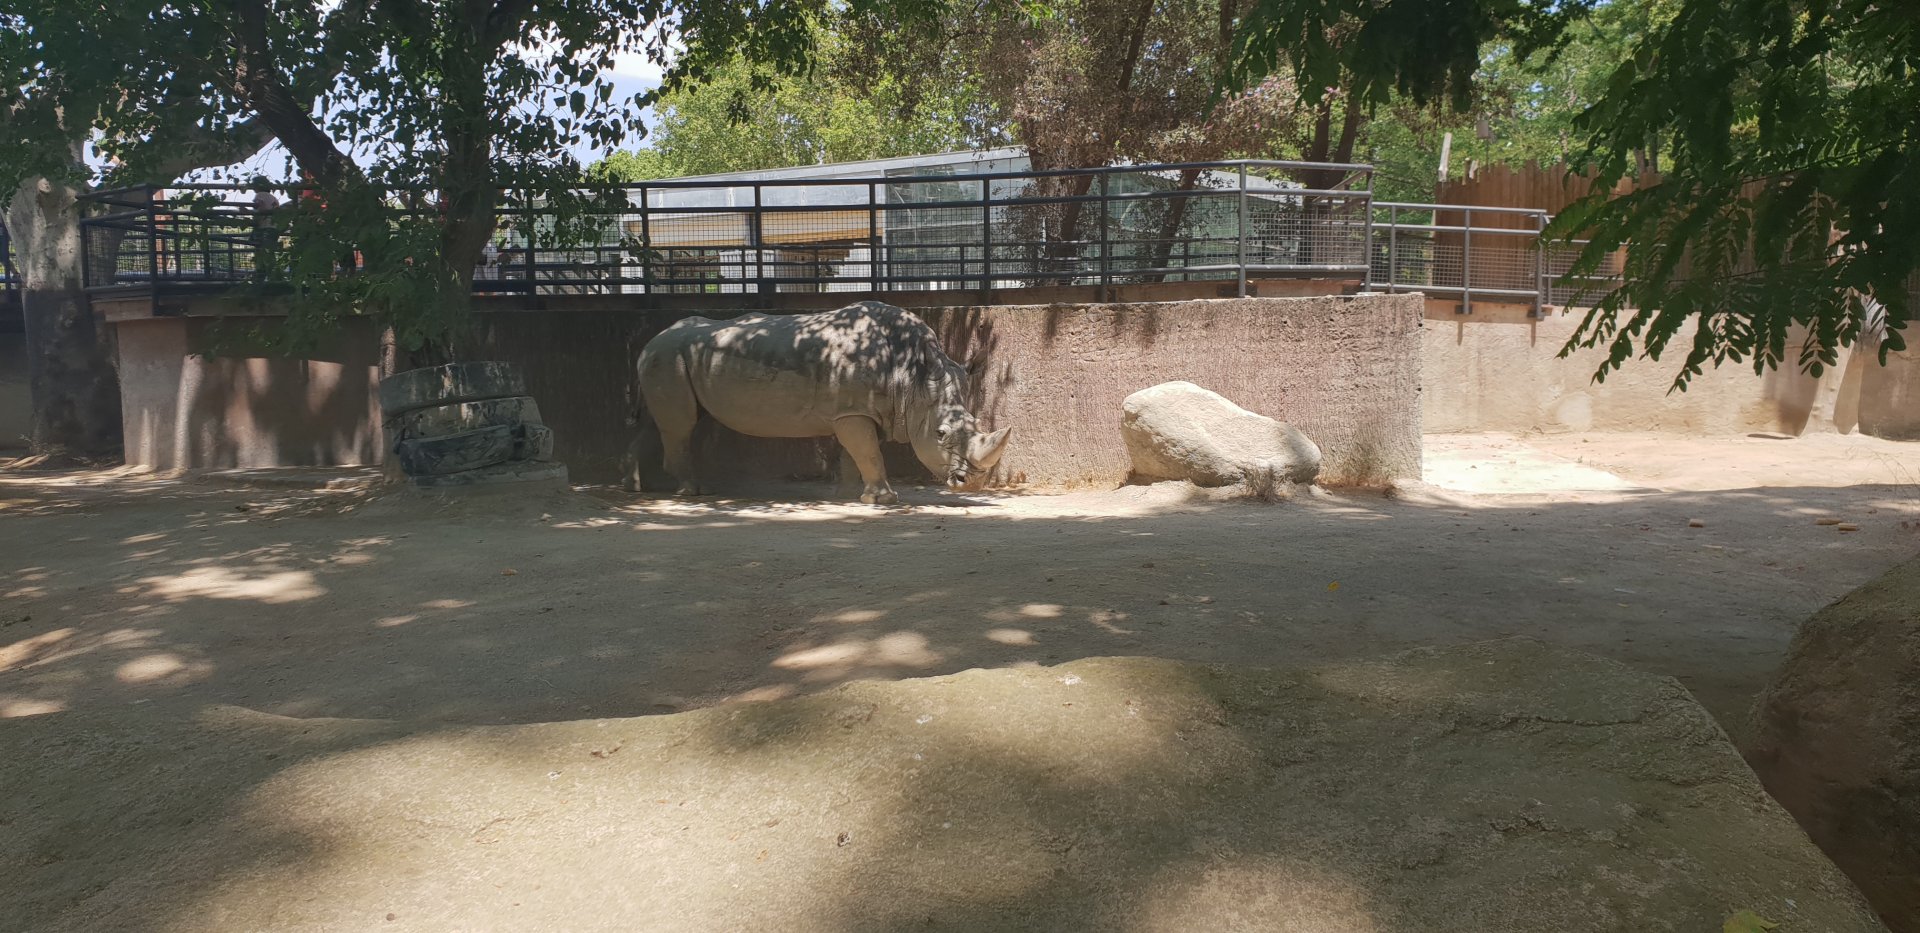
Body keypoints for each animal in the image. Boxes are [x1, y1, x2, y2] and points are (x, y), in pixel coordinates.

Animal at [636, 301, 1012, 504]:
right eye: (940, 434)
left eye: (977, 425)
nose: (973, 485)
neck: (912, 376)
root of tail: (649, 342)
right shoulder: (853, 411)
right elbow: (868, 452)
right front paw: (885, 500)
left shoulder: (855, 410)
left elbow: (857, 453)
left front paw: (848, 495)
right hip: (669, 357)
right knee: (680, 426)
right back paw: (692, 492)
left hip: (672, 358)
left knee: (667, 423)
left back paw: (643, 487)